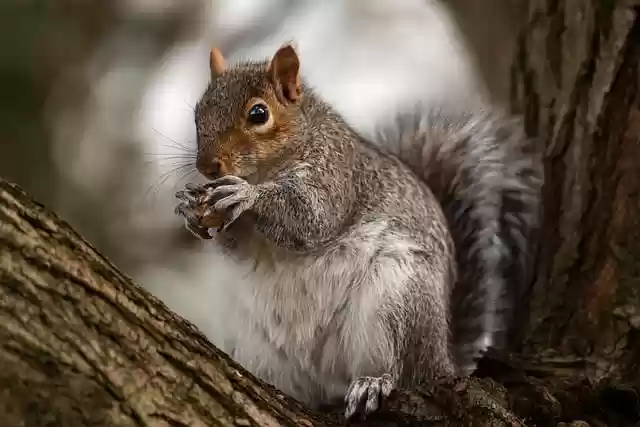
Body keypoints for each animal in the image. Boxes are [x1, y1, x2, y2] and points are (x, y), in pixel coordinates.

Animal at [174, 44, 543, 419]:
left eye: (259, 113)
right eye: (198, 113)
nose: (207, 166)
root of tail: (442, 362)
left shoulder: (337, 176)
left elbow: (311, 217)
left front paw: (246, 195)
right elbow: (237, 245)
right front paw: (192, 211)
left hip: (398, 301)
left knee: (403, 371)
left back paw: (374, 383)